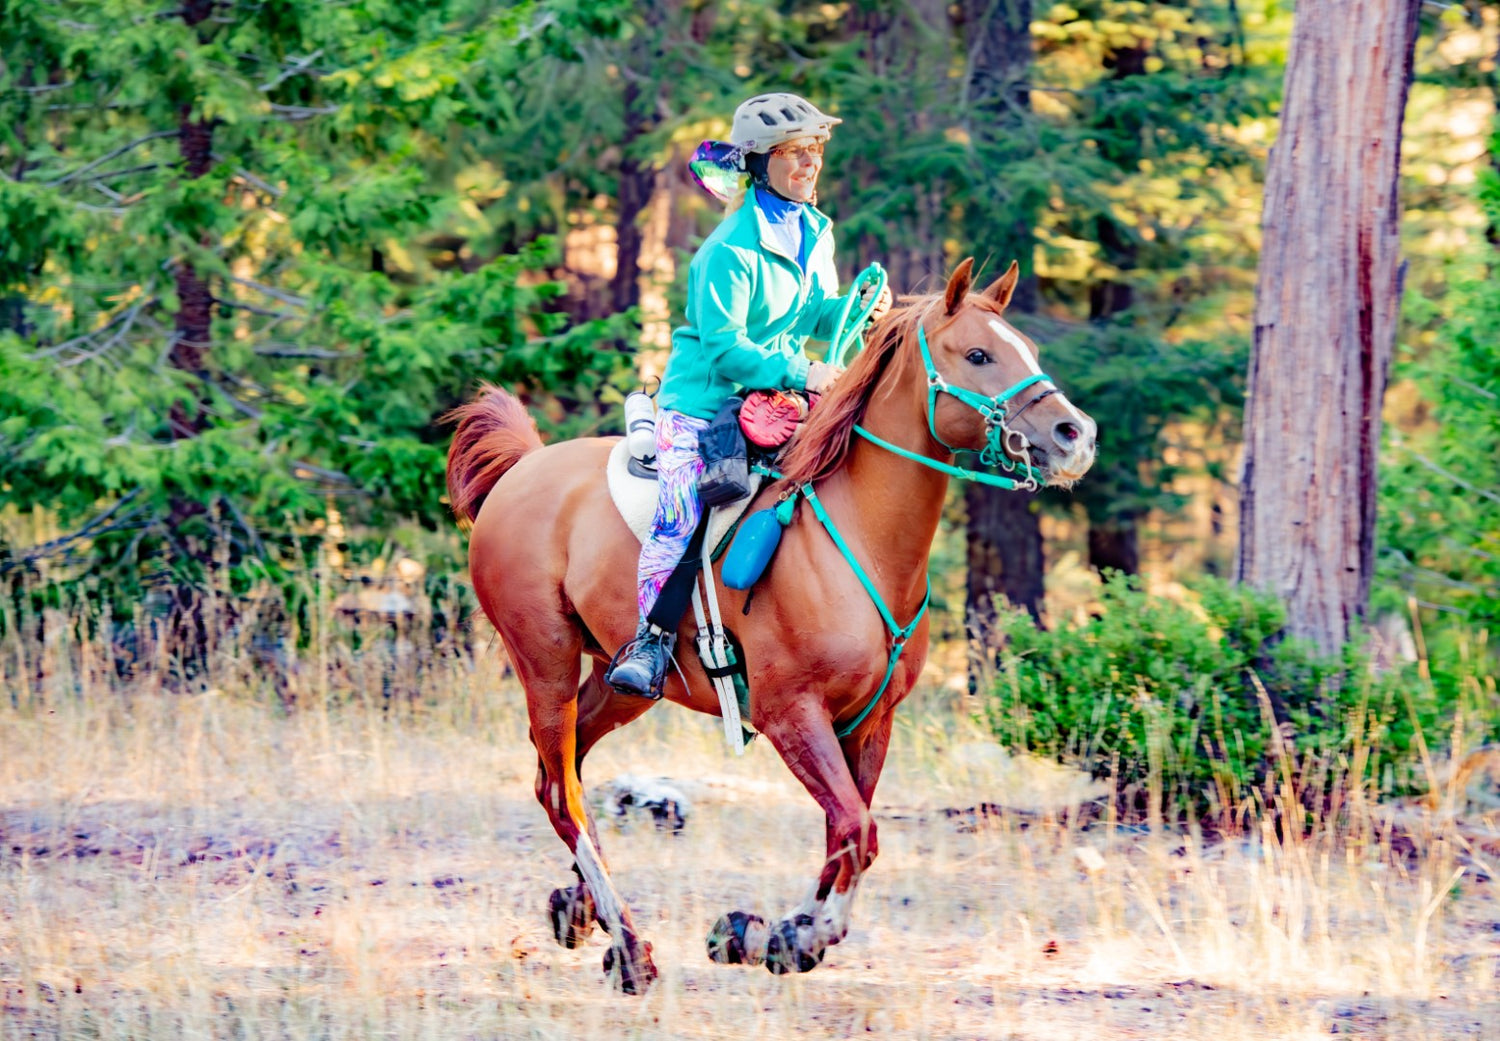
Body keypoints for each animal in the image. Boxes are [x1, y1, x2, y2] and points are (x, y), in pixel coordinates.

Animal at [438, 261, 1098, 996]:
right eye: (979, 354)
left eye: (1027, 350)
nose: (1076, 434)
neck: (860, 537)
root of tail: (524, 467)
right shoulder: (791, 714)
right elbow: (858, 830)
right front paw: (790, 934)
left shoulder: (870, 723)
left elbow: (847, 834)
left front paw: (774, 934)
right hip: (544, 660)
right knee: (561, 791)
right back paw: (631, 947)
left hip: (621, 683)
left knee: (567, 767)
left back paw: (583, 910)